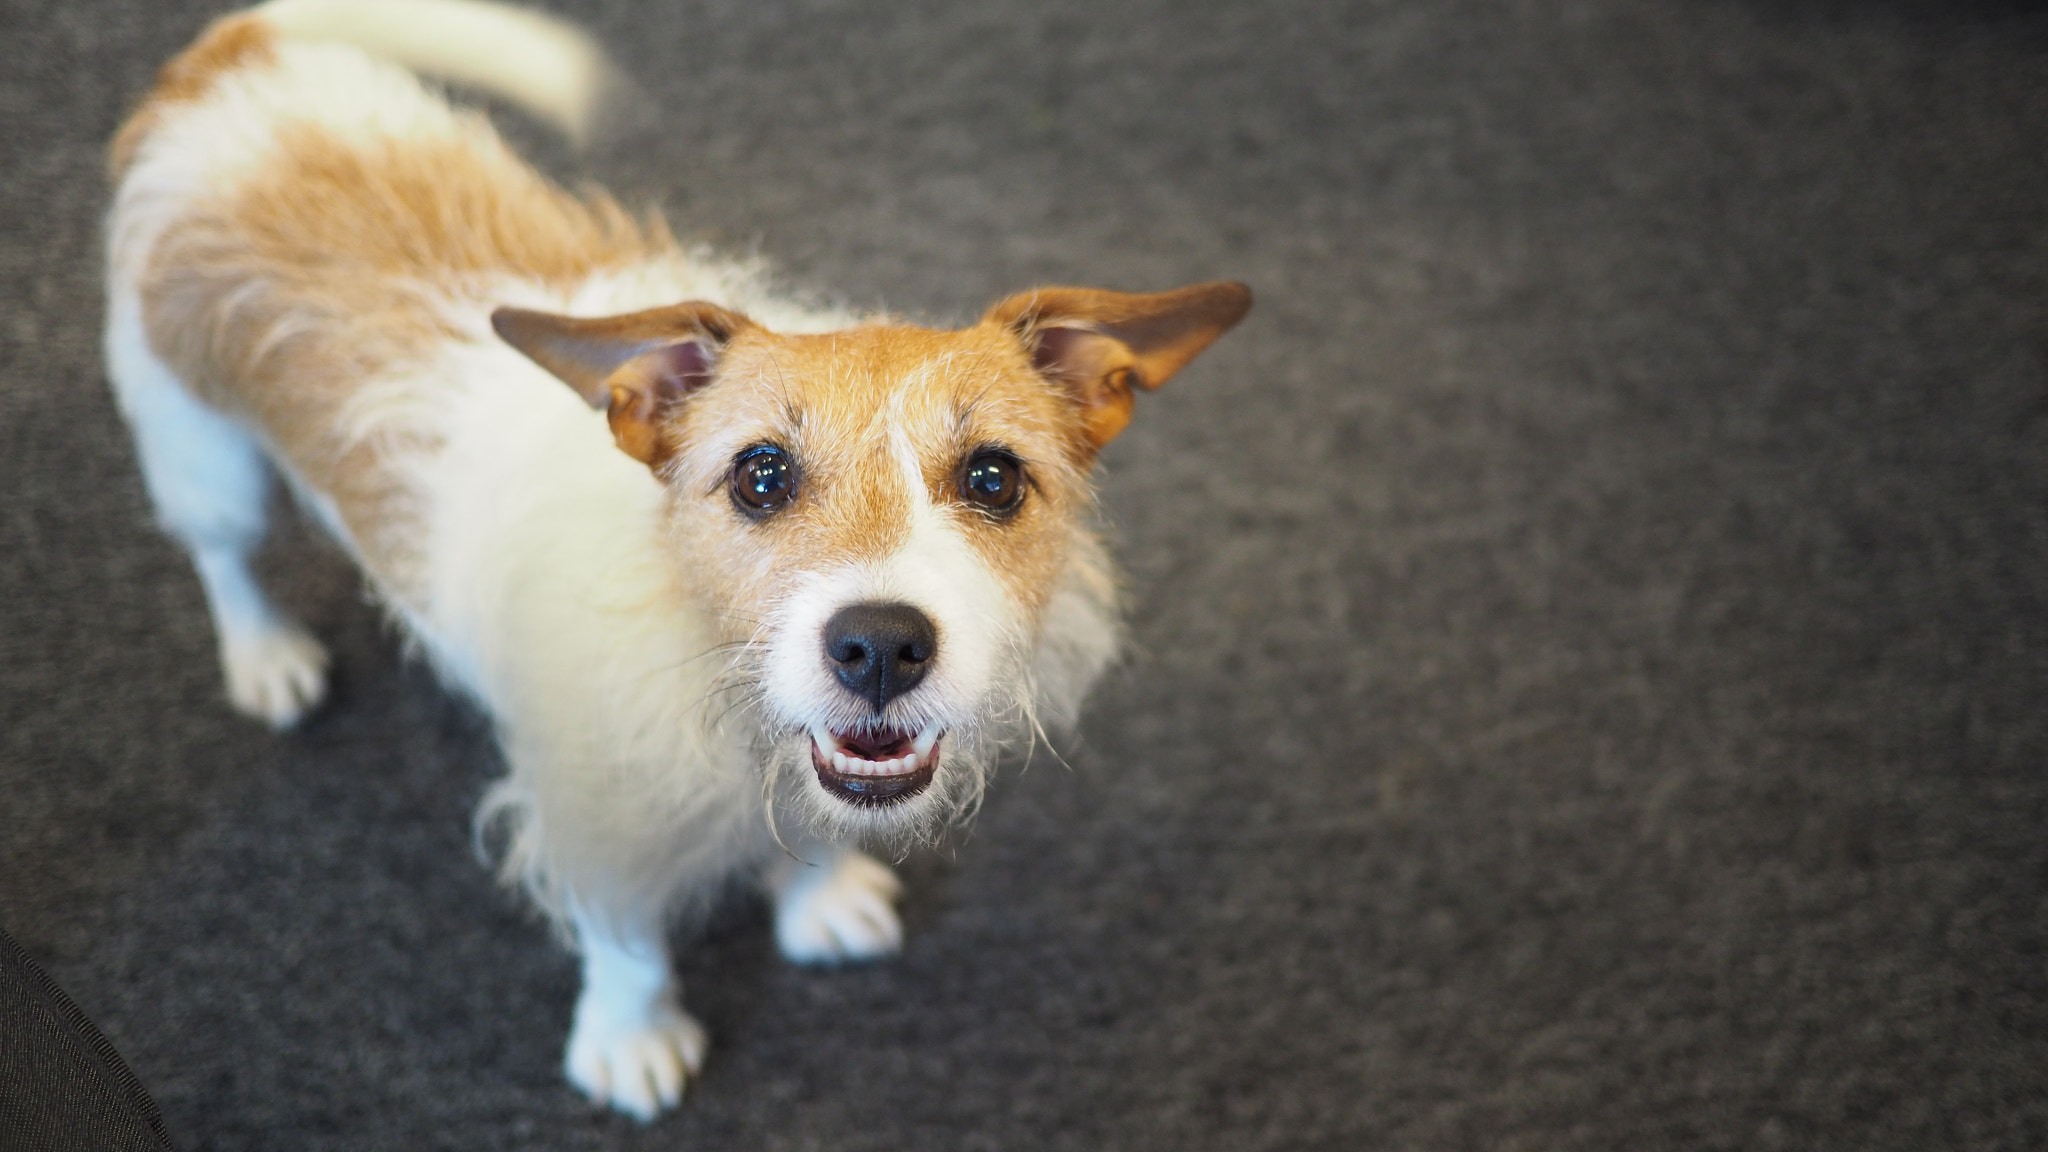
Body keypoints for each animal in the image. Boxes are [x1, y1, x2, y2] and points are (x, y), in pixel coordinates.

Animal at [108, 0, 1245, 1115]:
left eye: (994, 478)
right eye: (760, 475)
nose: (879, 648)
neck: (698, 645)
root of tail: (229, 65)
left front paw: (820, 895)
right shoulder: (593, 814)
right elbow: (627, 938)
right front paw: (630, 1036)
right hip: (201, 453)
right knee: (223, 556)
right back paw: (265, 654)